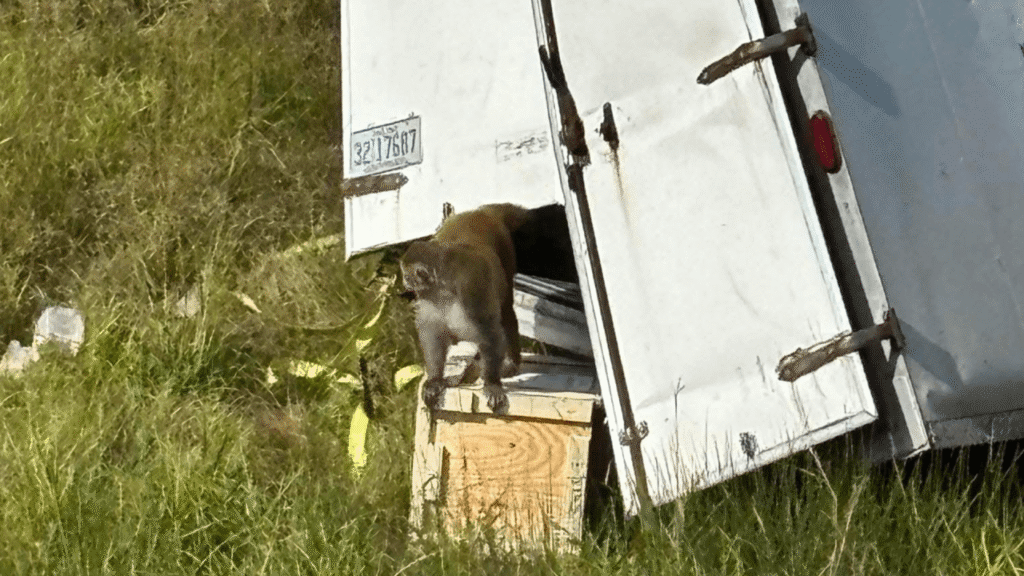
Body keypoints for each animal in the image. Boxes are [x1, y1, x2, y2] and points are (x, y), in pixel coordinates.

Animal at [400, 203, 531, 413]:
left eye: (407, 275)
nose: (404, 282)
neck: (443, 287)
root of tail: (479, 212)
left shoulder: (470, 286)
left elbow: (489, 332)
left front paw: (492, 383)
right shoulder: (428, 297)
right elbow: (433, 334)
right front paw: (435, 380)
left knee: (505, 311)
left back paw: (510, 363)